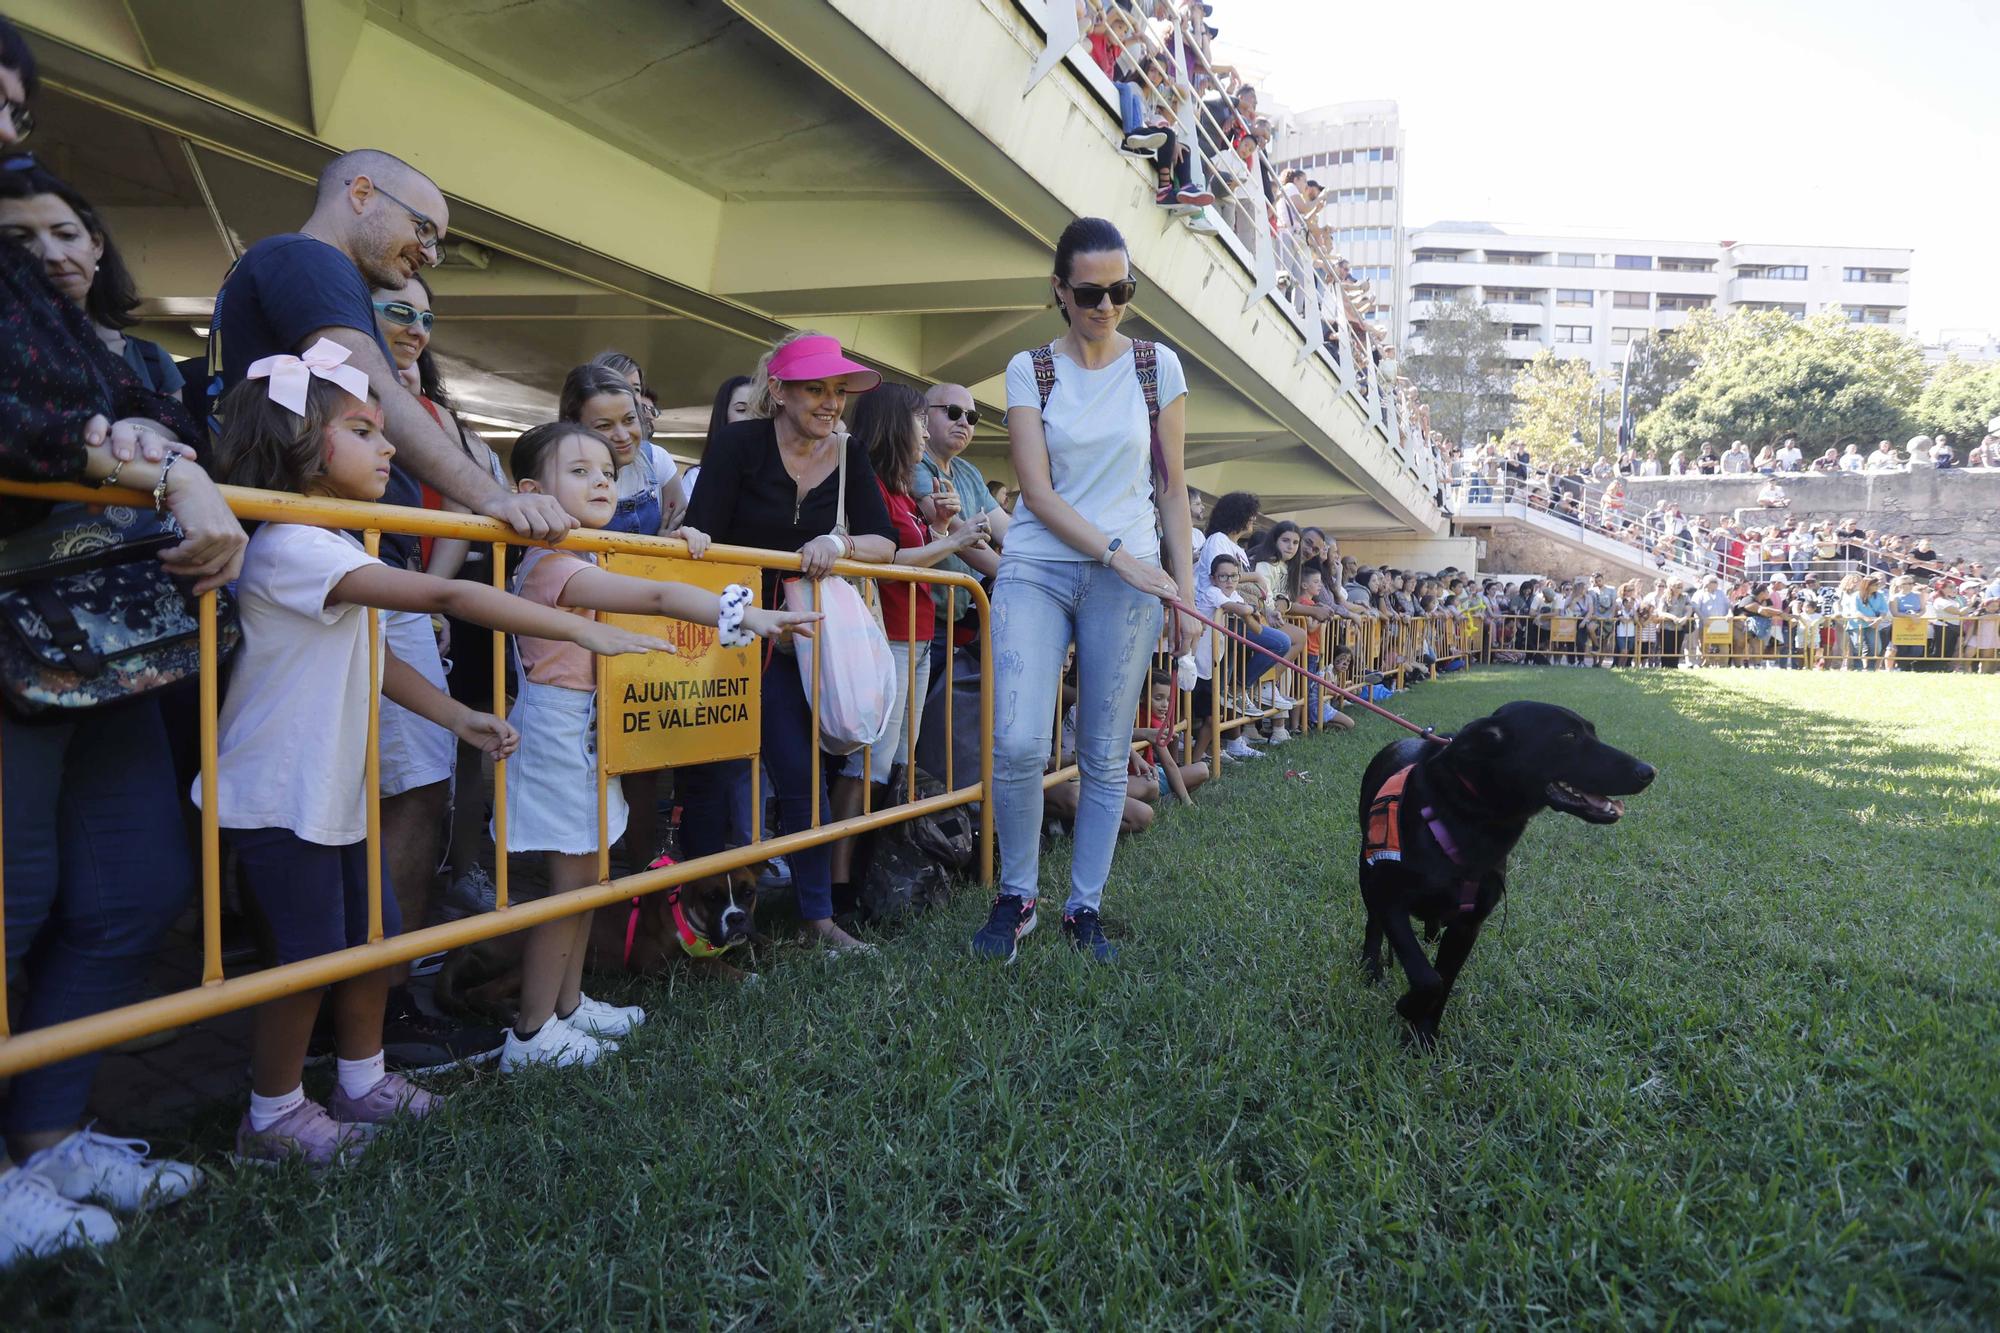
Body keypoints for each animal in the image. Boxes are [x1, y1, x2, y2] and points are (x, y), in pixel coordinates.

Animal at [1360, 700, 1656, 1040]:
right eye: (1569, 736)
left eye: (1592, 732)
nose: (1648, 771)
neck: (1469, 817)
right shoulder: (1389, 899)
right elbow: (1427, 978)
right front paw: (1408, 1006)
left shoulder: (1467, 926)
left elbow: (1442, 982)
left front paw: (1423, 1037)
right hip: (1366, 872)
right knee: (1373, 922)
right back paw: (1369, 967)